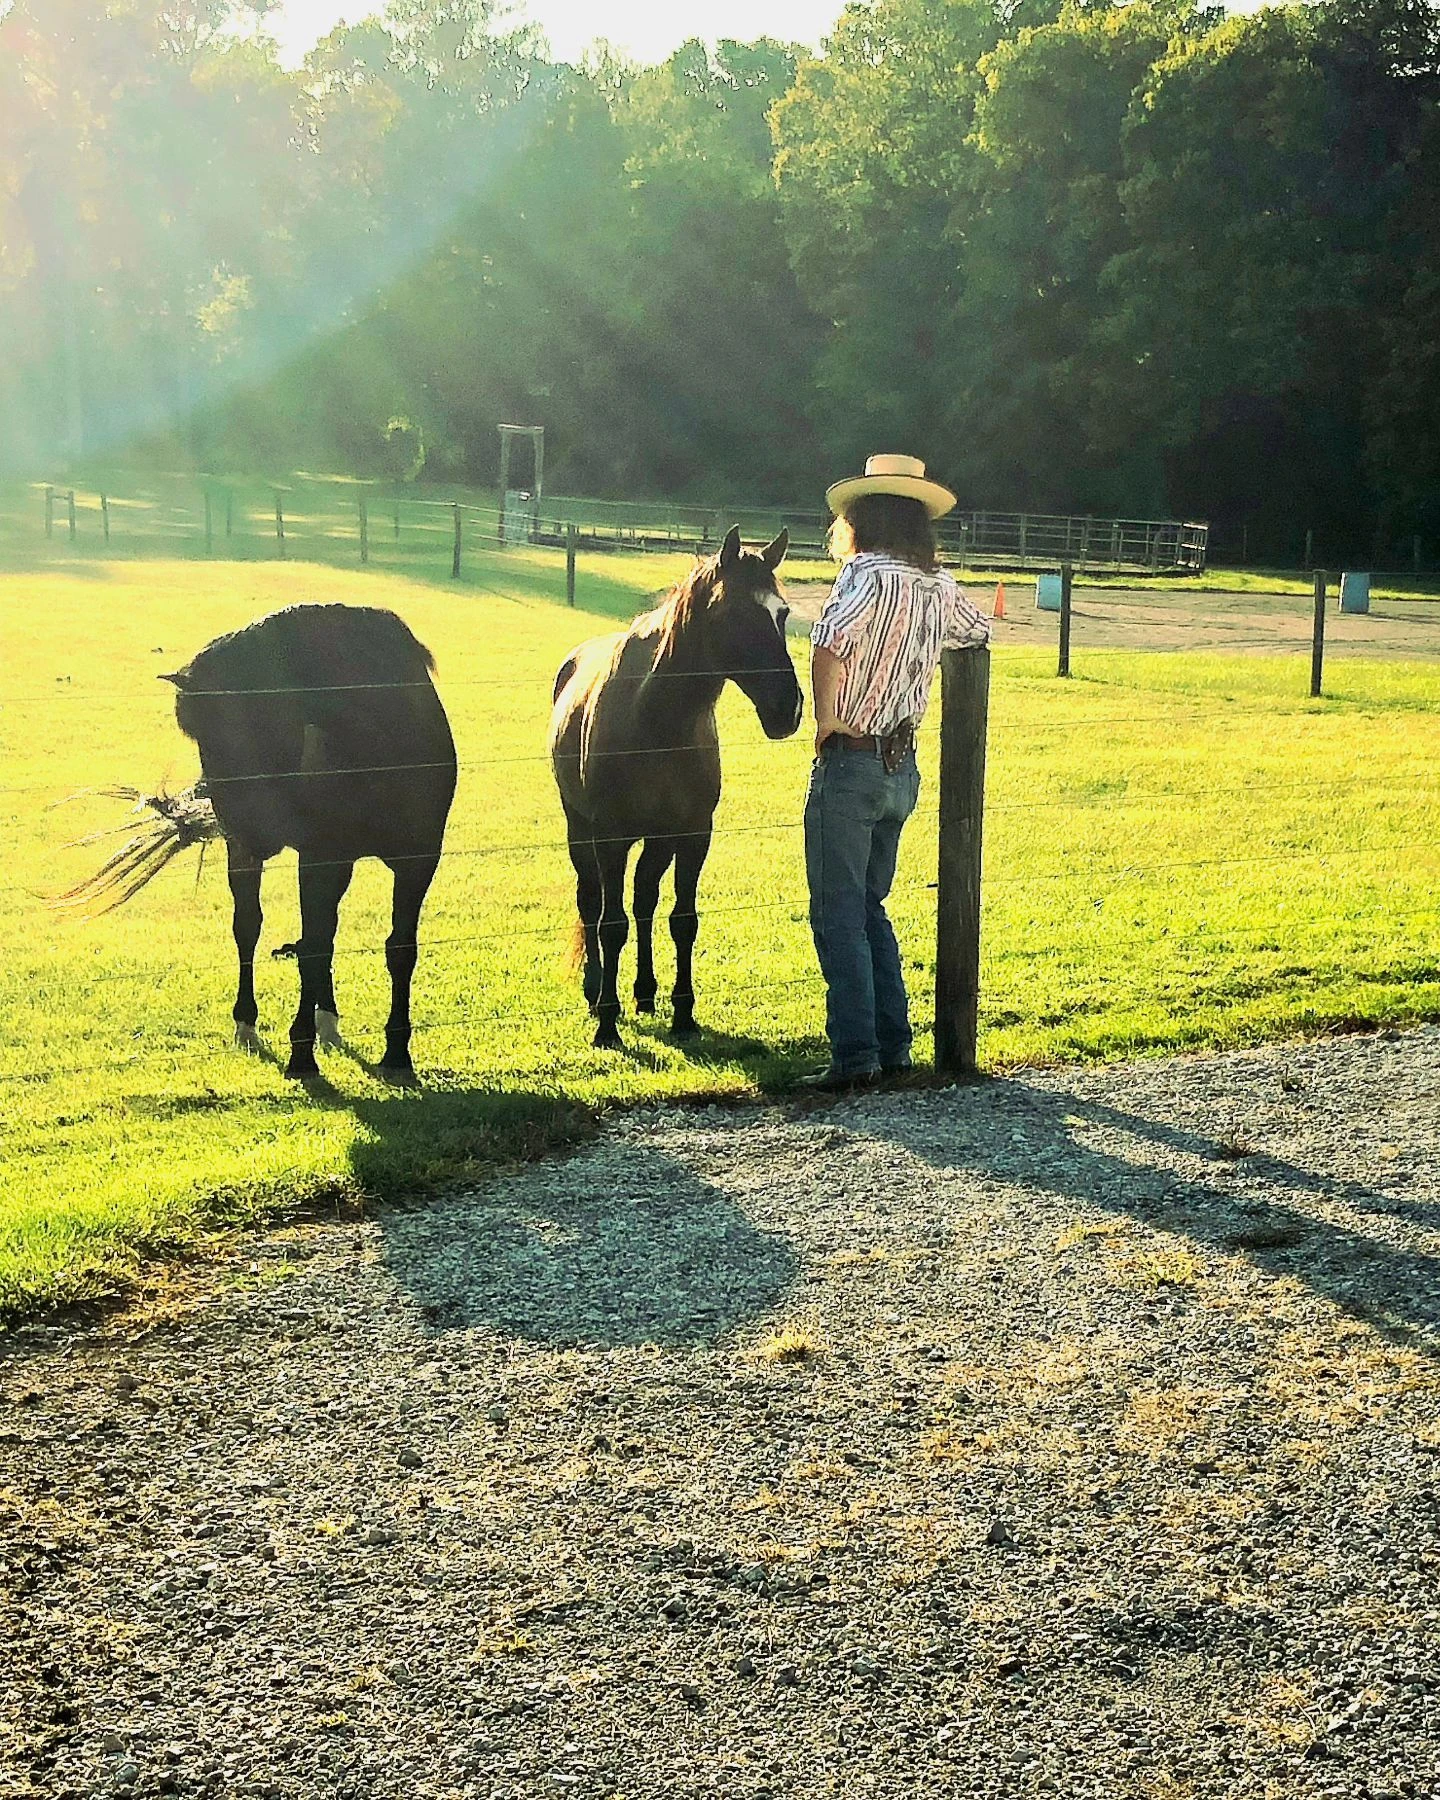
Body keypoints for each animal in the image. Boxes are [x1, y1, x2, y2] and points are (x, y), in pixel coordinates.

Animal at [60, 604, 455, 1080]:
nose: (238, 823)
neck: (377, 737)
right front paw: (301, 1055)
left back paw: (327, 1020)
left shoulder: (417, 859)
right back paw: (250, 1025)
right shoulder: (317, 857)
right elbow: (307, 947)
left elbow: (398, 948)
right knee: (253, 928)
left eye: (244, 727)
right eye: (200, 738)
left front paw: (397, 1053)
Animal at [547, 525, 799, 1051]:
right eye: (736, 614)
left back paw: (644, 992)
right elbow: (611, 924)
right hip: (580, 830)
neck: (656, 716)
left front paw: (684, 1014)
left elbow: (682, 919)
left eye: (782, 613)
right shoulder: (612, 837)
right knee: (592, 902)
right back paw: (597, 992)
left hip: (658, 840)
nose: (788, 708)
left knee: (644, 900)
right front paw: (607, 1024)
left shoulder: (693, 833)